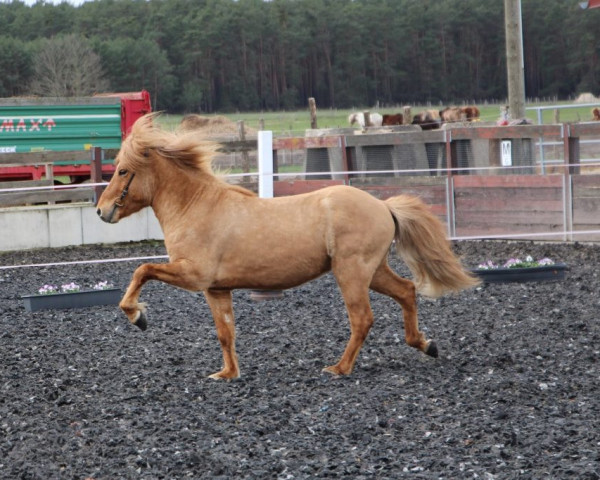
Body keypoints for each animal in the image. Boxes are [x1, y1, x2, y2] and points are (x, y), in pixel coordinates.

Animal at [99, 114, 482, 380]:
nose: (102, 211)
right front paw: (227, 374)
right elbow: (225, 333)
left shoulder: (193, 276)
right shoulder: (216, 289)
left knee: (362, 319)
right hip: (373, 271)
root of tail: (382, 205)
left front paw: (137, 315)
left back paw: (339, 368)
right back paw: (426, 345)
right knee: (406, 291)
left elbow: (142, 270)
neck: (196, 205)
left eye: (123, 171)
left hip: (351, 272)